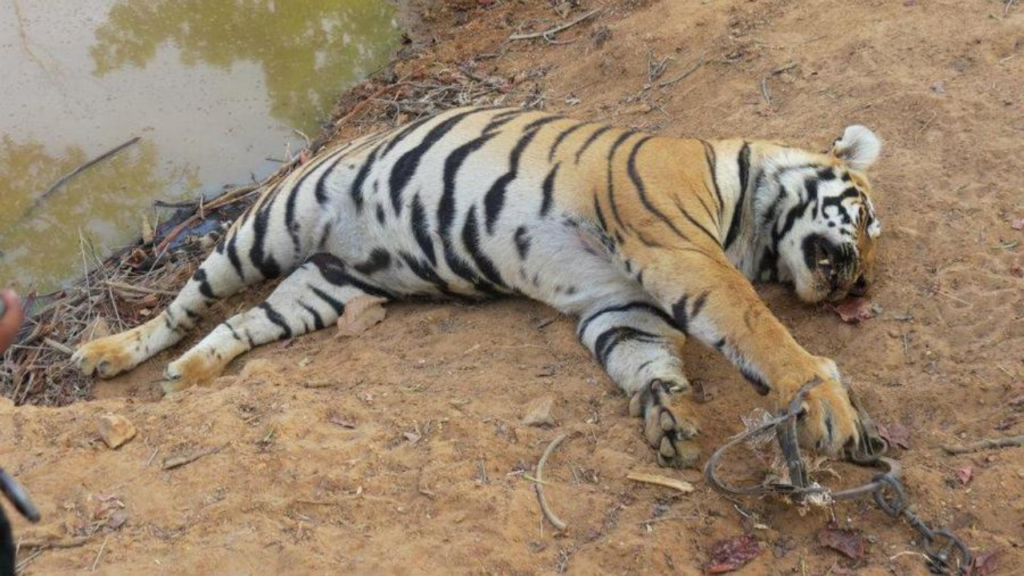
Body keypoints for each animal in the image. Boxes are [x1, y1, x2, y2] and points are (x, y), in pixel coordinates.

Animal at [74, 106, 886, 468]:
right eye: (869, 220)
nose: (859, 289)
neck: (745, 224)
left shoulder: (616, 302)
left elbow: (646, 360)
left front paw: (671, 419)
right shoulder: (678, 252)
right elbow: (756, 328)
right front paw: (826, 401)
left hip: (325, 288)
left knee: (238, 325)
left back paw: (190, 374)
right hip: (264, 229)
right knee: (185, 303)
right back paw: (108, 353)